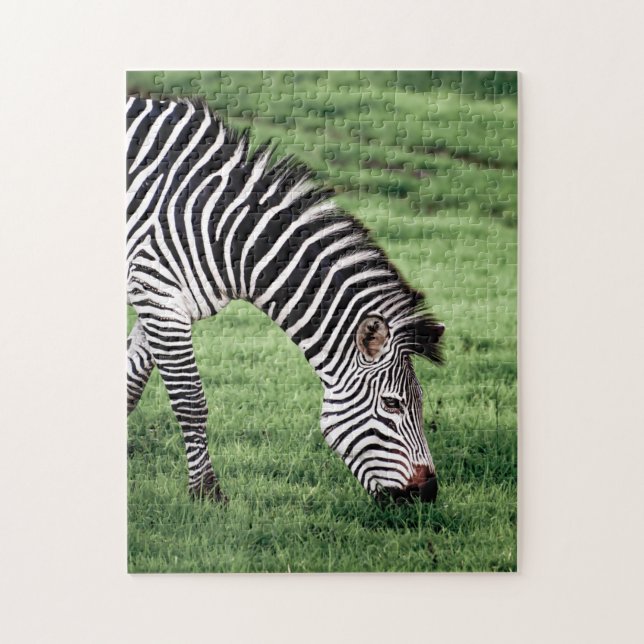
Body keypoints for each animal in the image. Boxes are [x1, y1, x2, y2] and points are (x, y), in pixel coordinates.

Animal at [126, 96, 445, 505]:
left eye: (420, 402)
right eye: (393, 404)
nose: (428, 492)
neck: (228, 235)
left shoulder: (165, 304)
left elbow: (131, 383)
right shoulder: (156, 293)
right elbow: (190, 399)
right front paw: (207, 493)